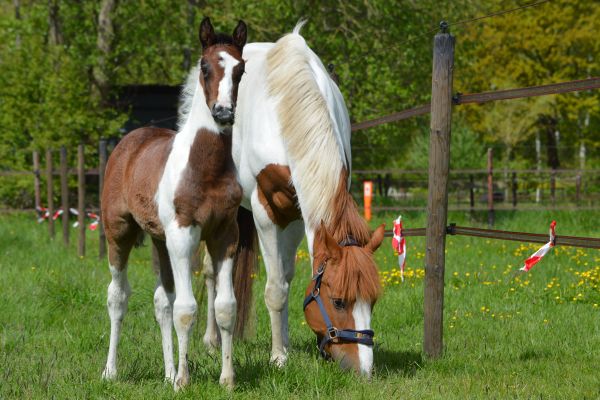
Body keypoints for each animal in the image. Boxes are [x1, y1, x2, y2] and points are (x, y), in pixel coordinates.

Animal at [102, 17, 247, 390]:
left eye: (240, 69)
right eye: (205, 66)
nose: (223, 113)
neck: (206, 169)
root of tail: (130, 140)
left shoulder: (225, 235)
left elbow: (225, 307)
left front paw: (227, 379)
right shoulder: (183, 236)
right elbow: (187, 308)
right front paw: (183, 380)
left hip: (159, 239)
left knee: (161, 301)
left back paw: (166, 372)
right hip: (119, 232)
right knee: (118, 296)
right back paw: (111, 371)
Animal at [203, 23, 384, 376]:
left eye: (372, 300)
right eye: (338, 301)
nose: (364, 370)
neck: (288, 111)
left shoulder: (300, 214)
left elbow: (286, 279)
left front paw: (286, 346)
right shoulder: (266, 212)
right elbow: (275, 289)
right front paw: (278, 357)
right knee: (209, 271)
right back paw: (211, 340)